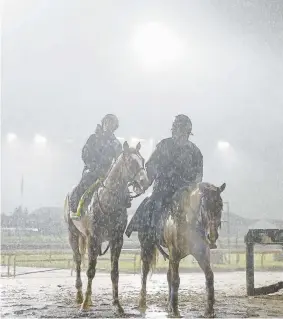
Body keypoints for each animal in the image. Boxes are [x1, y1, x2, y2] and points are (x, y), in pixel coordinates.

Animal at [63, 142, 149, 316]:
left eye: (142, 160)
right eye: (131, 162)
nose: (145, 182)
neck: (108, 201)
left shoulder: (116, 239)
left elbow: (114, 273)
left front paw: (117, 305)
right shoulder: (93, 238)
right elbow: (90, 270)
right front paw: (85, 304)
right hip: (73, 235)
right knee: (78, 260)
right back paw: (80, 295)